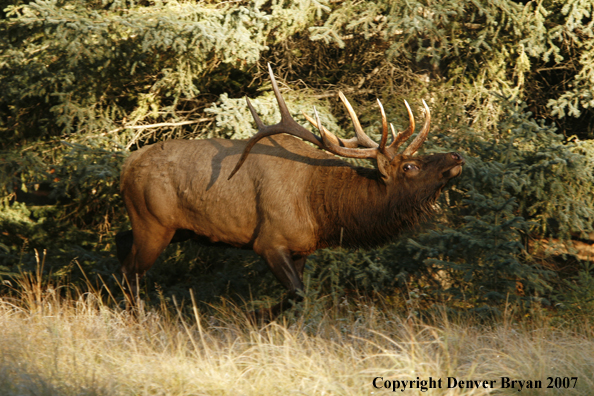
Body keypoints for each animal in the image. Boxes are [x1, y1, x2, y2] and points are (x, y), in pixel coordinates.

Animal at [115, 65, 462, 318]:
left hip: (175, 229)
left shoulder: (301, 248)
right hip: (154, 223)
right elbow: (297, 293)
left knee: (121, 244)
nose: (456, 156)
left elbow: (298, 294)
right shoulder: (270, 241)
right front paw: (253, 317)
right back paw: (138, 317)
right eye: (410, 167)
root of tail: (126, 165)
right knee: (131, 271)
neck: (321, 209)